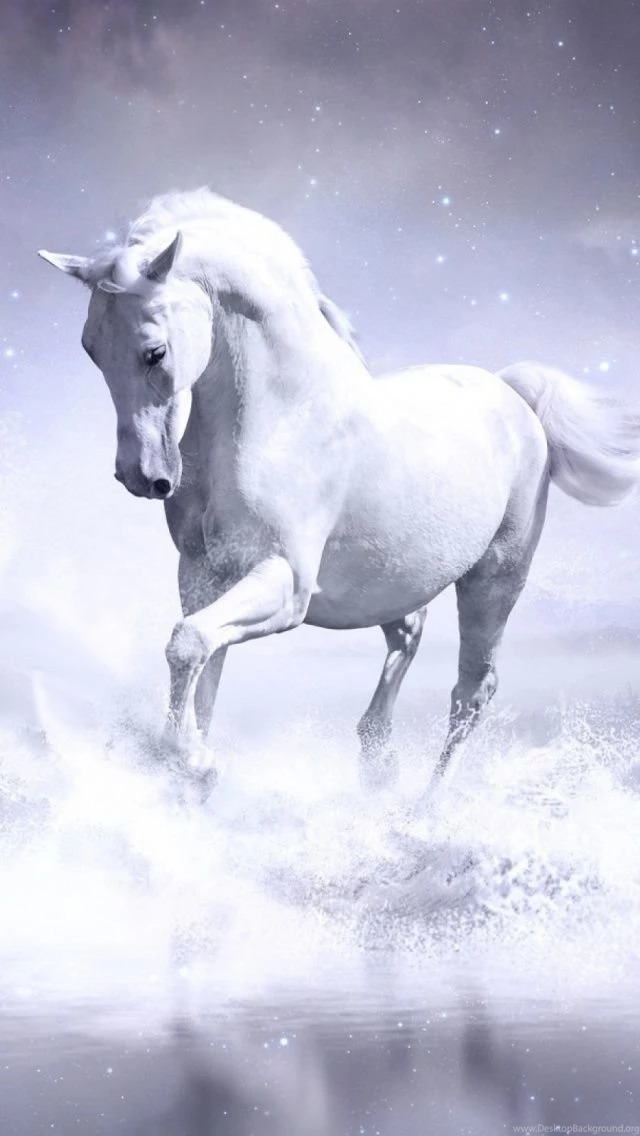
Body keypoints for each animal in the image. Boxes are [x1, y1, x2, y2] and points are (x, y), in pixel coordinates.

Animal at [38, 188, 640, 797]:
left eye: (155, 352)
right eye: (91, 348)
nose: (142, 477)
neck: (281, 418)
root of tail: (512, 395)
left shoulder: (285, 584)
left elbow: (188, 643)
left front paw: (191, 759)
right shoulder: (203, 576)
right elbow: (203, 656)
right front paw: (191, 761)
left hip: (494, 581)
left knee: (472, 691)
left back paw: (425, 805)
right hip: (391, 579)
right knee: (409, 635)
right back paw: (377, 759)